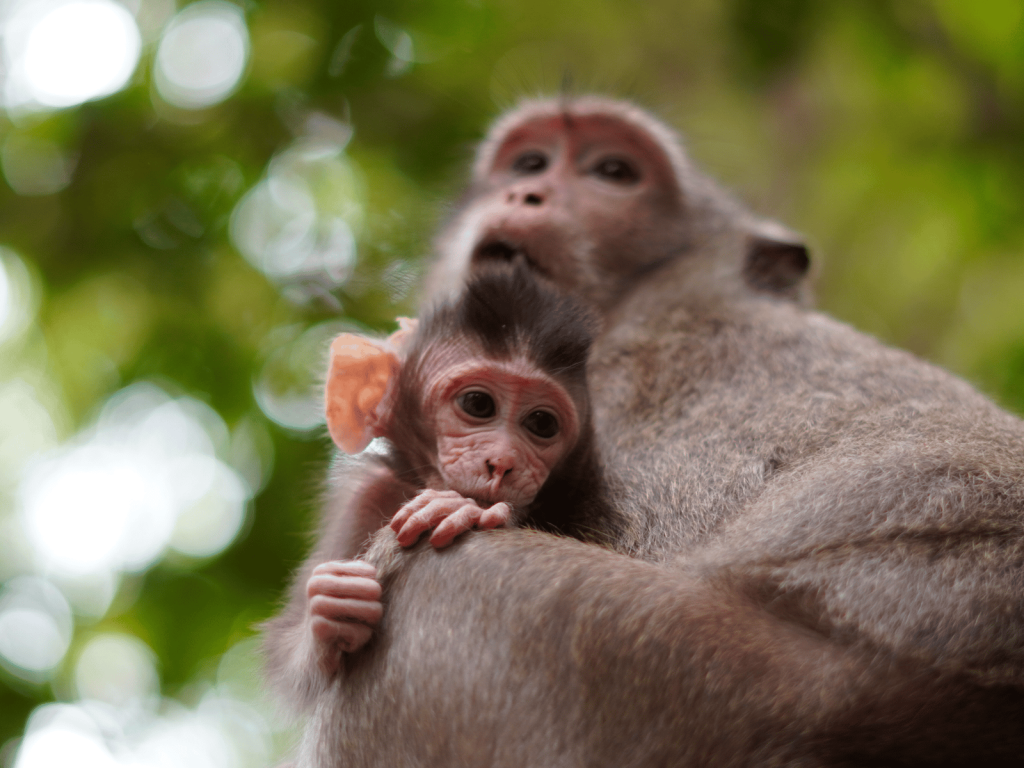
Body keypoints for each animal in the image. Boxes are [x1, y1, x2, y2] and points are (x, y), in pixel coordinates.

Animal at [262, 263, 619, 712]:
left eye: (541, 423)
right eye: (478, 404)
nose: (503, 462)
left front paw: (461, 509)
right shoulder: (366, 496)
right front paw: (328, 611)